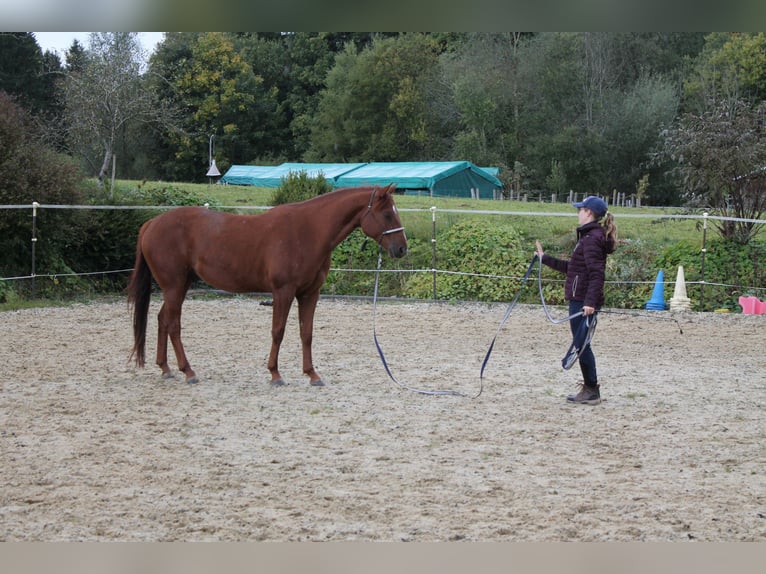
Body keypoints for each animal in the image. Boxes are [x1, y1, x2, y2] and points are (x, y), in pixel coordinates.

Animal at [127, 184, 407, 386]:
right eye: (386, 214)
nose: (402, 249)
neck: (309, 231)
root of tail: (152, 223)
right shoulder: (283, 292)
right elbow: (278, 331)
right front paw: (275, 374)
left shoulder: (310, 294)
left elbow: (307, 333)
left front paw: (312, 375)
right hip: (174, 286)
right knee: (173, 324)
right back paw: (188, 371)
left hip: (179, 286)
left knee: (163, 319)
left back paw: (165, 368)